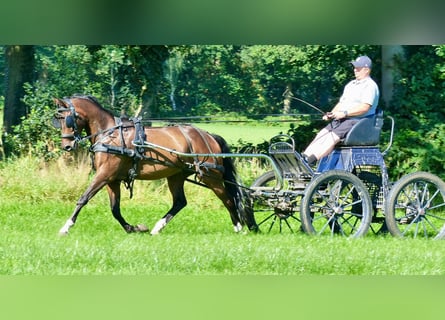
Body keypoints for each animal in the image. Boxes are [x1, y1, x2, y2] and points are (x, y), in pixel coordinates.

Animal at [51, 94, 256, 235]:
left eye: (68, 119)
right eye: (58, 120)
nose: (66, 146)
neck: (110, 134)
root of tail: (208, 136)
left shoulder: (105, 174)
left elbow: (84, 198)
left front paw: (65, 227)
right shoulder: (112, 179)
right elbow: (115, 209)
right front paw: (133, 228)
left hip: (210, 176)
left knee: (228, 199)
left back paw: (239, 228)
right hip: (176, 176)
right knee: (180, 202)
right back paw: (158, 227)